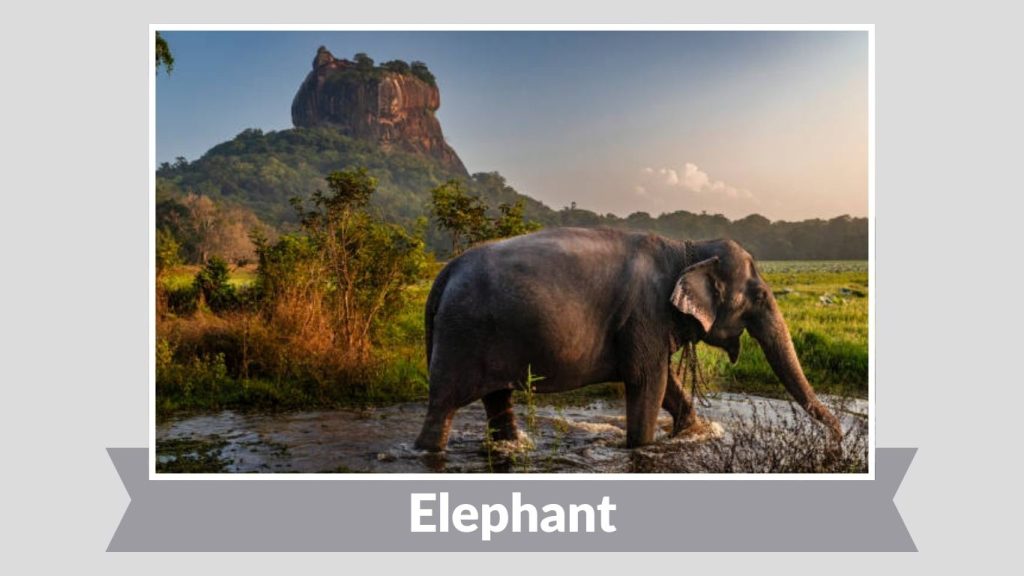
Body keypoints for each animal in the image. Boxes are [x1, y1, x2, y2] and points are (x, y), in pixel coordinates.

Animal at [414, 227, 843, 451]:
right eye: (759, 296)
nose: (838, 437)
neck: (688, 247)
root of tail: (444, 274)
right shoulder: (645, 313)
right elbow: (648, 381)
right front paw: (644, 446)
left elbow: (668, 384)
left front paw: (692, 433)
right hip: (462, 336)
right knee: (444, 404)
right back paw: (428, 449)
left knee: (497, 398)